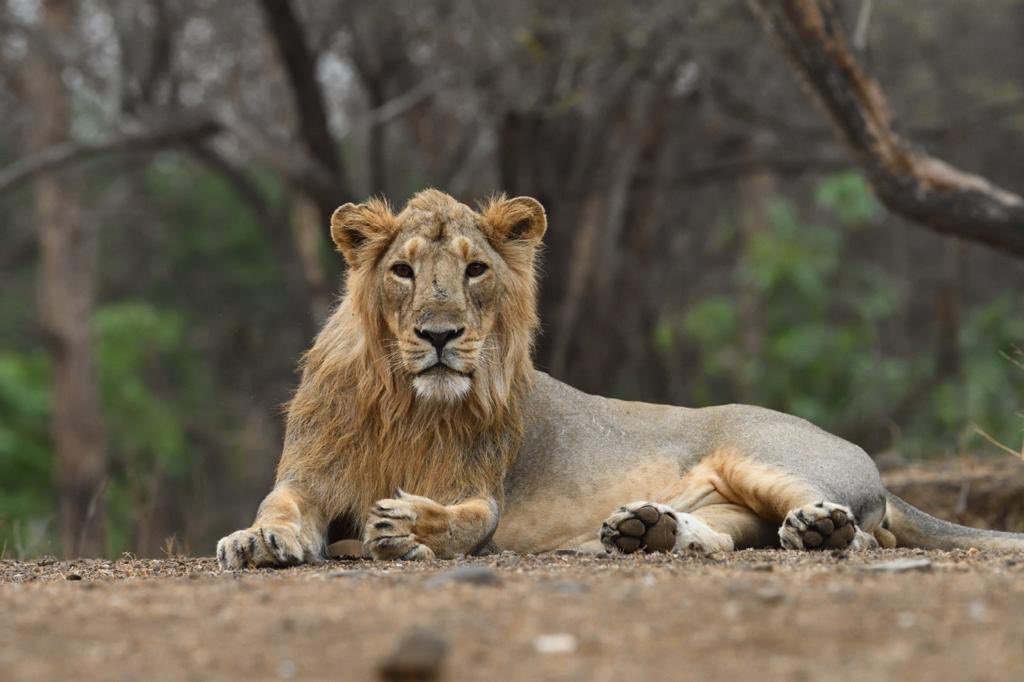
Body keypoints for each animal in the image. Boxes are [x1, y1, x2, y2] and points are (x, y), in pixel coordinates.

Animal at [217, 189, 1024, 568]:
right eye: (403, 272)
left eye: (474, 270)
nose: (440, 335)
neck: (405, 402)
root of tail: (872, 464)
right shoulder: (309, 477)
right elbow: (277, 506)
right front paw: (258, 541)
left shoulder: (480, 490)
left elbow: (467, 520)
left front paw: (408, 529)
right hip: (733, 504)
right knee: (729, 540)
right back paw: (642, 529)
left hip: (762, 455)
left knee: (852, 533)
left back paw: (817, 529)